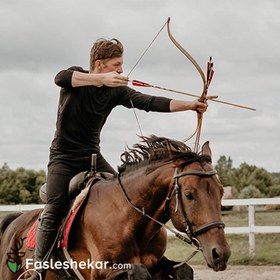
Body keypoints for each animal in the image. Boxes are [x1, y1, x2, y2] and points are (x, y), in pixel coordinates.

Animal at [0, 135, 230, 278]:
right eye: (189, 194)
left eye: (221, 192)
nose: (221, 254)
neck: (131, 220)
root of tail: (14, 222)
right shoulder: (99, 271)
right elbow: (139, 272)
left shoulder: (157, 263)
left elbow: (184, 271)